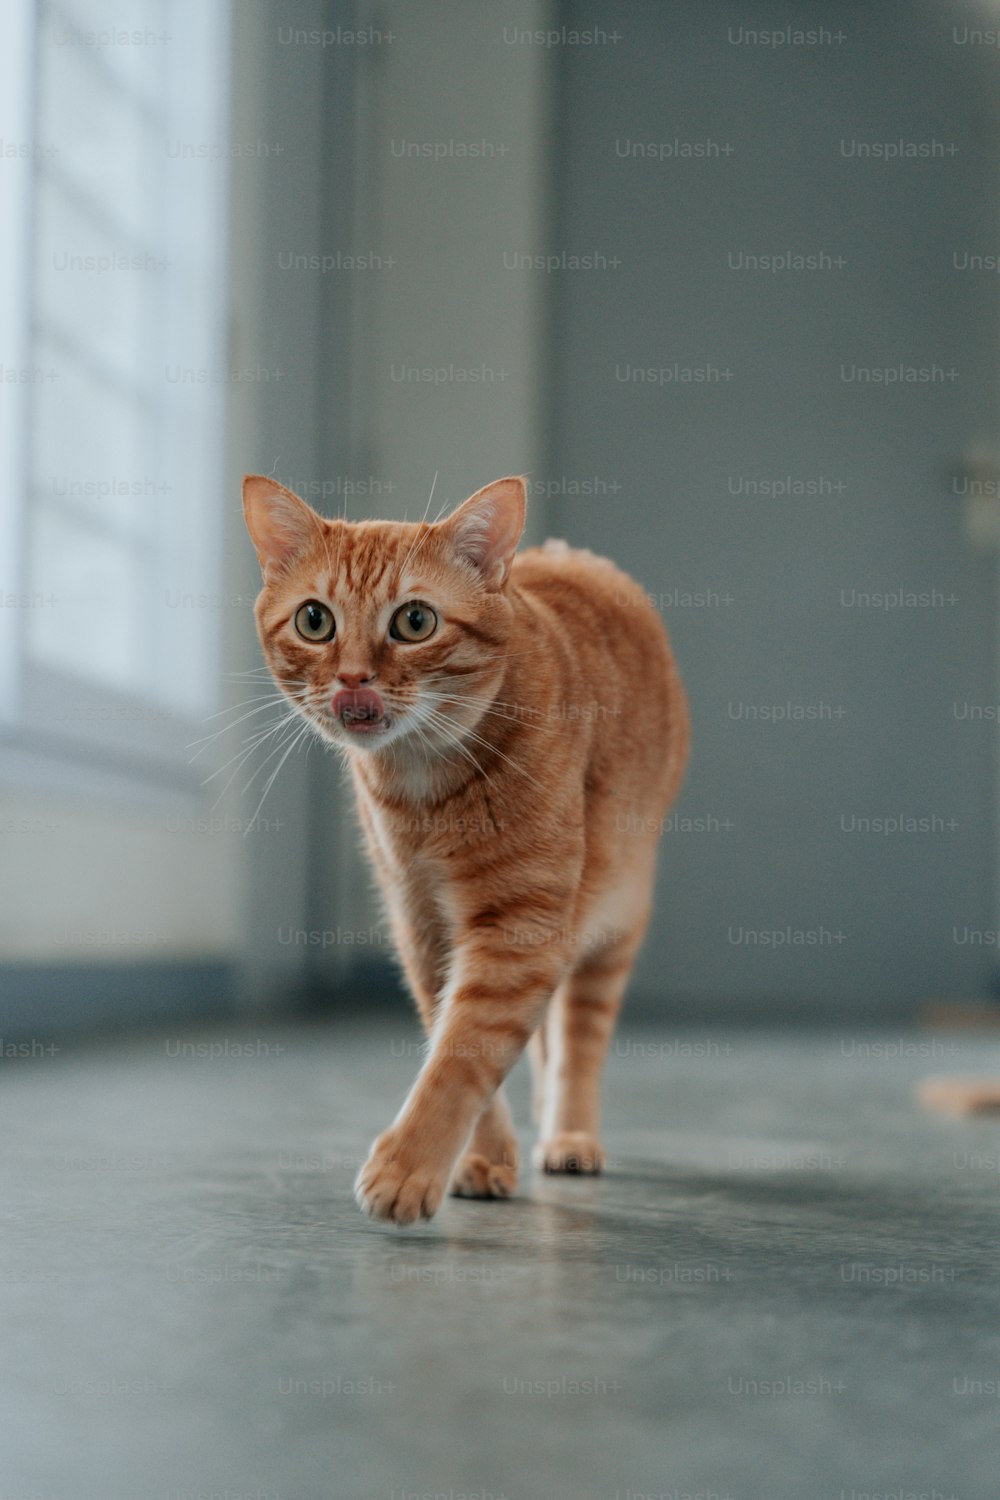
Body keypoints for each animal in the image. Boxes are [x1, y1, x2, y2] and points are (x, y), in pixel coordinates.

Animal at [245, 474, 692, 1224]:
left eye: (414, 622)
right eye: (314, 620)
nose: (354, 678)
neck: (423, 790)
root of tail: (570, 551)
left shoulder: (519, 928)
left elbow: (462, 1055)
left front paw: (407, 1168)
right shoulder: (423, 925)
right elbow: (453, 1035)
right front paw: (481, 1158)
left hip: (613, 917)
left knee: (577, 1041)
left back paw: (569, 1137)